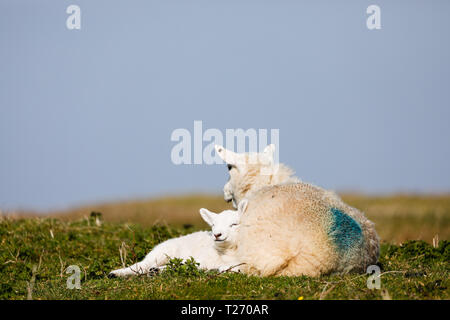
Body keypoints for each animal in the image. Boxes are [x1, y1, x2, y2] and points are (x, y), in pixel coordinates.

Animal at [110, 200, 250, 278]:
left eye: (234, 224)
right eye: (213, 225)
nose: (217, 235)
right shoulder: (201, 260)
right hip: (161, 253)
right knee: (142, 265)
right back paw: (116, 273)